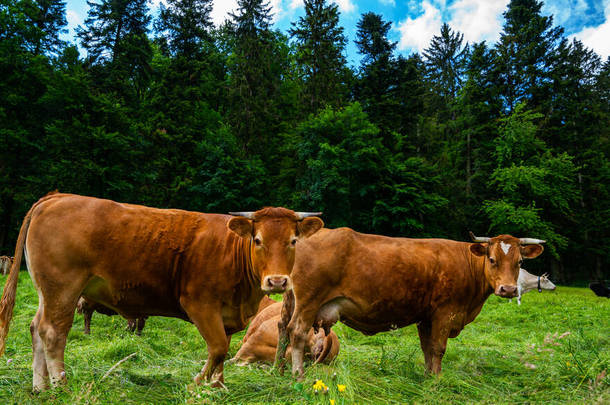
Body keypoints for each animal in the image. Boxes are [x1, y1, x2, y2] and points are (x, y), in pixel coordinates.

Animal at [0, 193, 324, 392]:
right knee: (53, 332)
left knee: (36, 328)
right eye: (257, 240)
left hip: (48, 291)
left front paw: (218, 387)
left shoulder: (228, 313)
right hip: (63, 288)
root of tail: (57, 196)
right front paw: (198, 383)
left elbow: (223, 350)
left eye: (293, 240)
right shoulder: (200, 303)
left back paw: (40, 387)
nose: (278, 282)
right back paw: (61, 386)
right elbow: (218, 347)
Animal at [274, 230, 540, 378]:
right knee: (296, 332)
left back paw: (278, 370)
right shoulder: (445, 313)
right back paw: (297, 375)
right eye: (492, 259)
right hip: (309, 301)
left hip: (291, 300)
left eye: (519, 262)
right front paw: (437, 381)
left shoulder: (426, 317)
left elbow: (427, 349)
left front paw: (427, 376)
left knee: (282, 329)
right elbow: (438, 348)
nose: (508, 289)